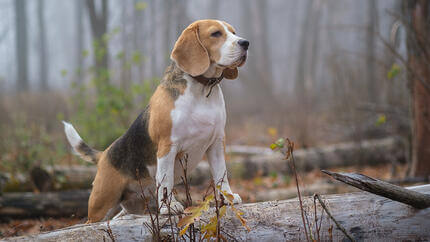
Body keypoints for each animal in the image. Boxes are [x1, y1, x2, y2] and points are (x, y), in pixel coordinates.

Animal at [61, 19, 249, 223]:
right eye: (216, 34)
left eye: (233, 32)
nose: (245, 43)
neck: (202, 90)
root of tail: (104, 154)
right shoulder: (167, 146)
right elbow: (166, 179)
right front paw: (169, 207)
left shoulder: (216, 143)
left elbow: (221, 174)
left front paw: (227, 197)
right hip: (102, 204)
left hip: (132, 206)